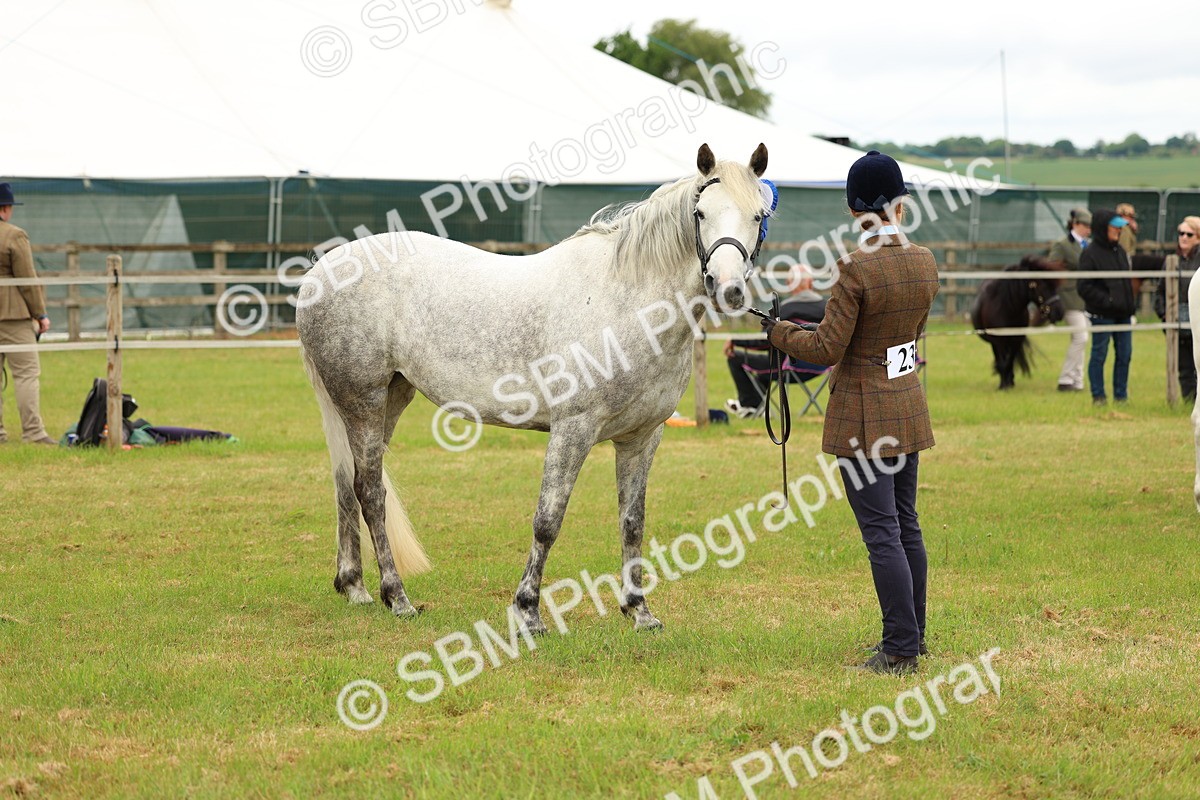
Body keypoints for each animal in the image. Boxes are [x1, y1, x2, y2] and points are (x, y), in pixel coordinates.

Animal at [296, 143, 771, 632]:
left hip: (388, 399)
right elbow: (548, 520)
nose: (728, 289)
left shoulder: (642, 437)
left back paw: (355, 586)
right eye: (700, 212)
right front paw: (528, 612)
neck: (627, 303)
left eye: (758, 215)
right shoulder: (573, 429)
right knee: (371, 492)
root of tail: (320, 271)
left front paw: (639, 611)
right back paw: (397, 596)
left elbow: (632, 521)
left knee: (347, 483)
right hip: (363, 401)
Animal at [970, 256, 1065, 390]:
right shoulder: (999, 341)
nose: (1059, 312)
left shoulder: (1017, 339)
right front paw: (1003, 385)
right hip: (995, 343)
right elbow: (1003, 362)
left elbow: (1010, 361)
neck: (1007, 308)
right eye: (1042, 285)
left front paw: (1009, 383)